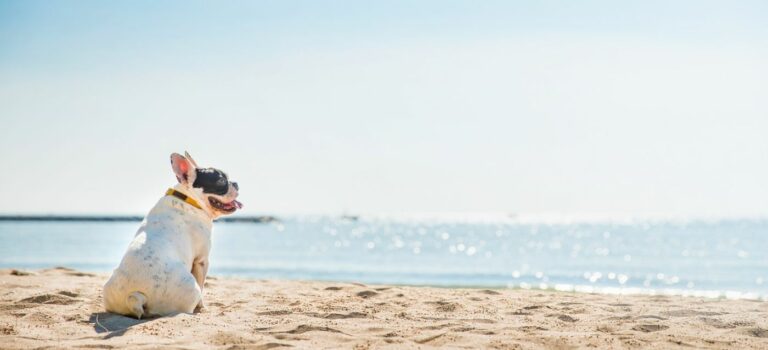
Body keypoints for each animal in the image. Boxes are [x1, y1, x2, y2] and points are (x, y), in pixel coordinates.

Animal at [102, 152, 240, 318]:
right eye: (221, 181)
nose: (236, 183)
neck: (189, 199)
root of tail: (136, 295)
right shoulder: (202, 260)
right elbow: (202, 285)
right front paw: (202, 307)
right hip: (191, 288)